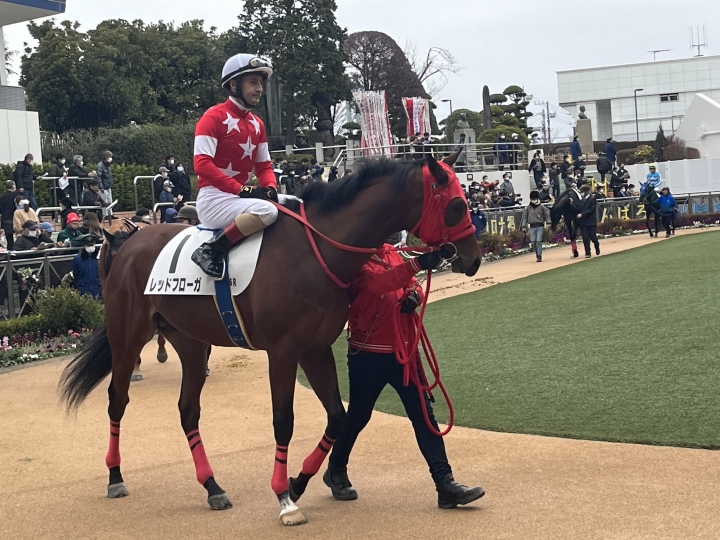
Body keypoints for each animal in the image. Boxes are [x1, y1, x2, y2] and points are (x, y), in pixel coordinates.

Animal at [59, 154, 481, 527]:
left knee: (188, 410)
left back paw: (212, 487)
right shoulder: (283, 351)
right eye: (457, 205)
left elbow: (337, 416)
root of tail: (126, 243)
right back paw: (115, 477)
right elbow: (284, 421)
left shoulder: (316, 349)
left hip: (192, 342)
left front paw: (299, 482)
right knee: (117, 400)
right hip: (127, 335)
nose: (473, 258)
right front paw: (284, 498)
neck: (317, 250)